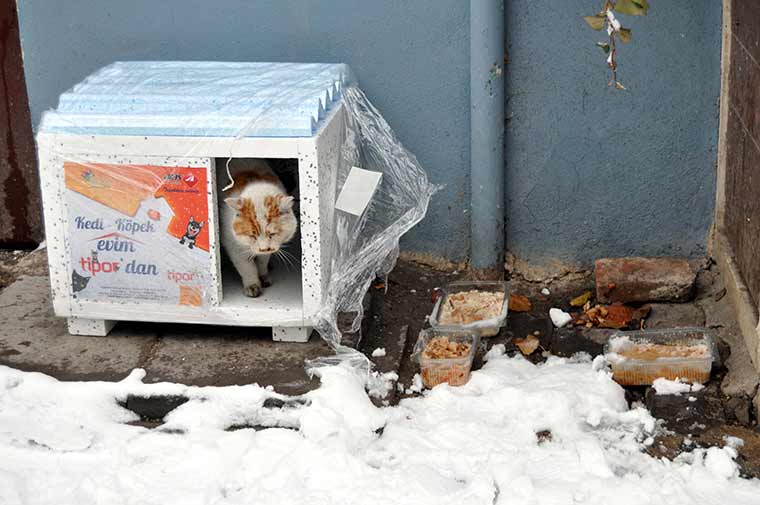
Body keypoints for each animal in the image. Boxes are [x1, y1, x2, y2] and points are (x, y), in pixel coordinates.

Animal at [220, 159, 296, 298]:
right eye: (252, 235)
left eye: (272, 234)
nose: (264, 248)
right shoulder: (232, 243)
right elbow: (247, 267)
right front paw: (252, 285)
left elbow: (262, 260)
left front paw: (263, 275)